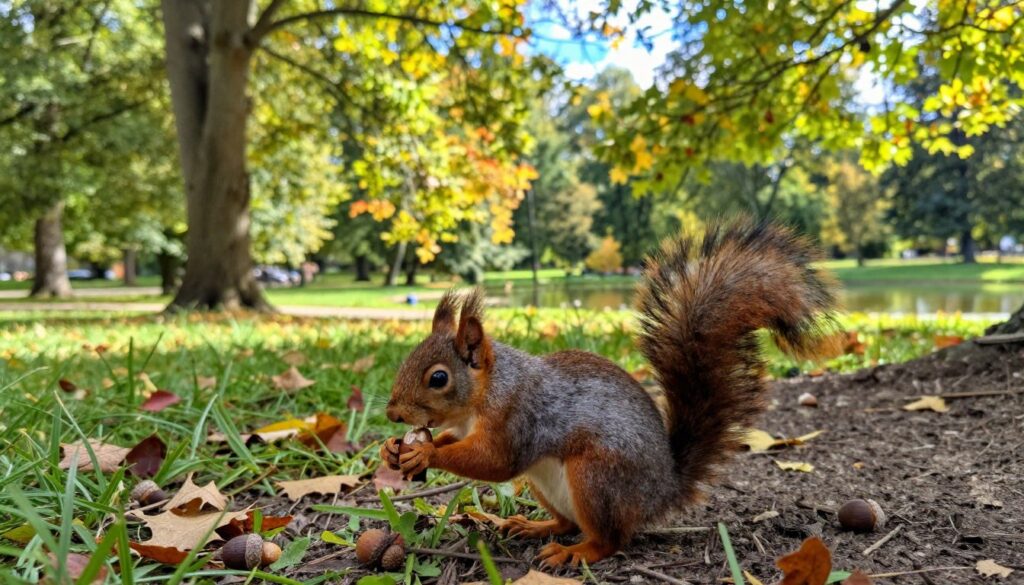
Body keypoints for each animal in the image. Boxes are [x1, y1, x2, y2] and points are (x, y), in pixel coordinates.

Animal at [381, 220, 837, 568]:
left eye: (438, 378)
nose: (392, 414)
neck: (486, 393)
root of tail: (662, 491)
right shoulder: (466, 427)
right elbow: (454, 440)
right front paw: (395, 449)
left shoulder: (519, 417)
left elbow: (493, 461)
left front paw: (426, 453)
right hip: (547, 484)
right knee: (567, 523)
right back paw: (536, 526)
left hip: (596, 478)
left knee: (609, 540)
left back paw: (576, 552)